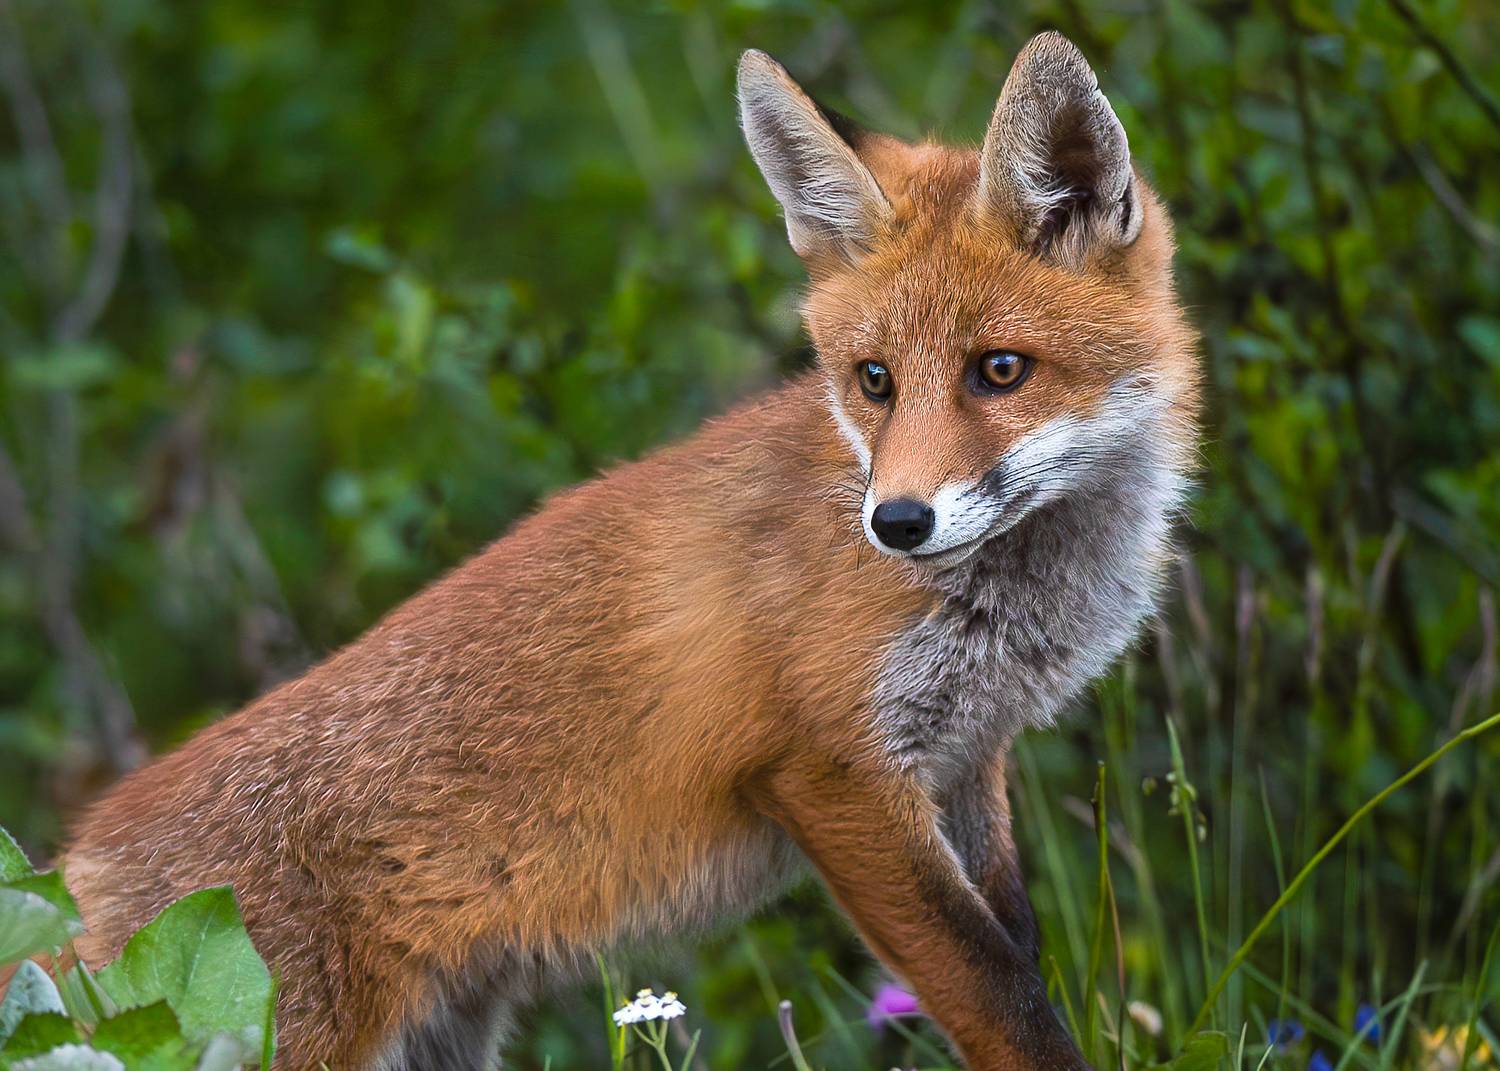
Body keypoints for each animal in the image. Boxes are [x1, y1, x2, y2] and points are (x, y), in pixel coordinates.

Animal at [52, 31, 1198, 1071]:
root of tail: (74, 860)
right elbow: (1005, 1004)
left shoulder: (965, 759)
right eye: (874, 380)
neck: (1014, 599)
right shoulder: (833, 773)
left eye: (1000, 370)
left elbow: (1023, 950)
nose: (897, 523)